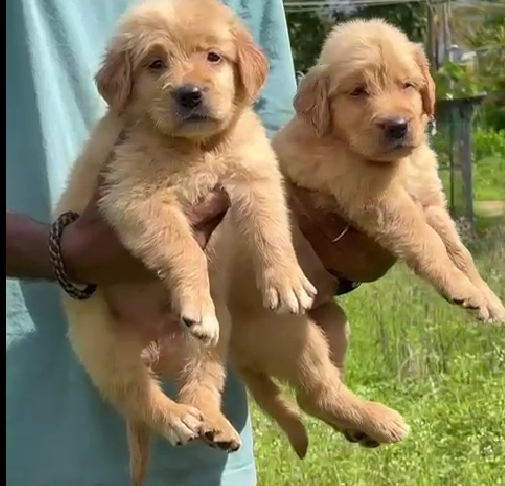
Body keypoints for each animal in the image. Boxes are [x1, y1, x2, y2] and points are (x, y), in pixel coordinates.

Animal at [56, 0, 316, 478]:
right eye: (156, 64)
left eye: (213, 57)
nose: (189, 94)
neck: (197, 148)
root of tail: (156, 351)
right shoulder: (133, 197)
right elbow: (185, 249)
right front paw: (195, 302)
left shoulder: (255, 172)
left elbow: (271, 227)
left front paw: (286, 281)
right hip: (103, 344)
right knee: (137, 395)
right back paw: (174, 417)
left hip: (216, 339)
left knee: (203, 381)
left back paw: (213, 423)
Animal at [276, 19, 504, 322]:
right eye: (357, 91)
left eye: (407, 85)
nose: (397, 126)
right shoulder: (383, 201)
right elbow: (427, 240)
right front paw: (461, 287)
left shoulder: (429, 200)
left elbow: (458, 249)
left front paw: (488, 299)